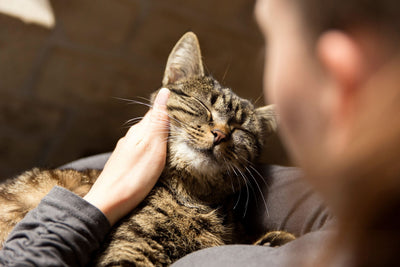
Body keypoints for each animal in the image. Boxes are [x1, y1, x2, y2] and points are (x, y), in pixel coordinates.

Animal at [0, 32, 294, 266]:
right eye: (202, 105)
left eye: (241, 130)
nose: (221, 134)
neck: (193, 198)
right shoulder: (130, 250)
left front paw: (274, 240)